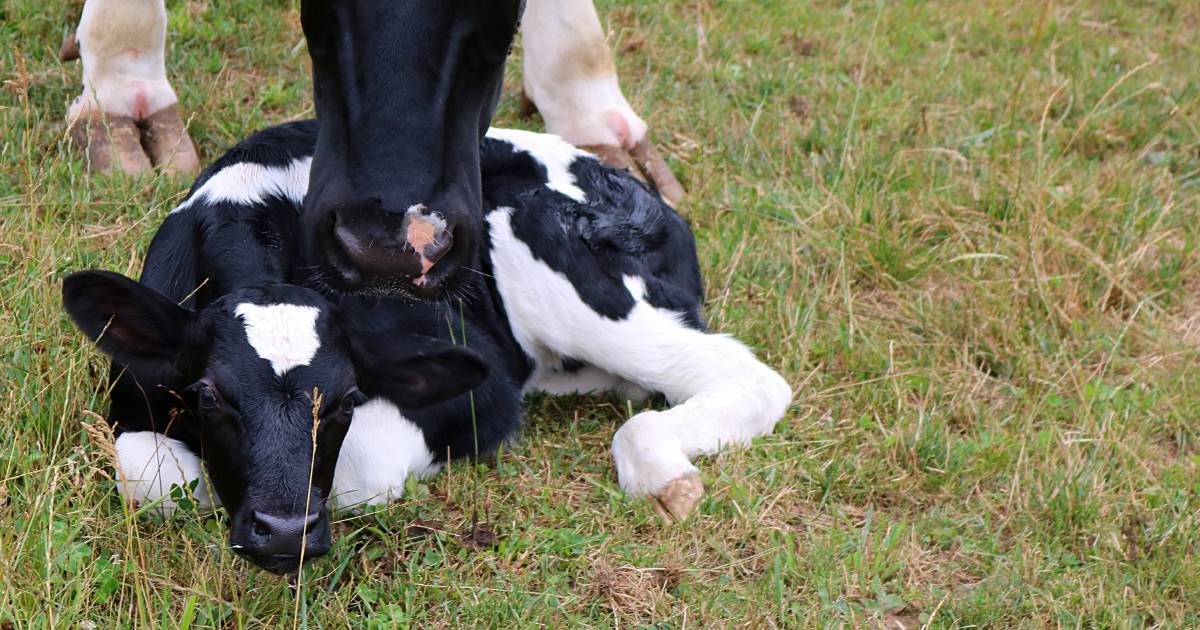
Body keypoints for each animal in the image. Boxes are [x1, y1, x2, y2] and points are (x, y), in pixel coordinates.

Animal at [60, 119, 792, 573]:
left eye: (349, 396)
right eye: (209, 394)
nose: (286, 530)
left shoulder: (479, 391)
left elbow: (366, 466)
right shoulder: (134, 393)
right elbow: (152, 477)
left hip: (552, 252)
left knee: (741, 379)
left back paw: (667, 475)